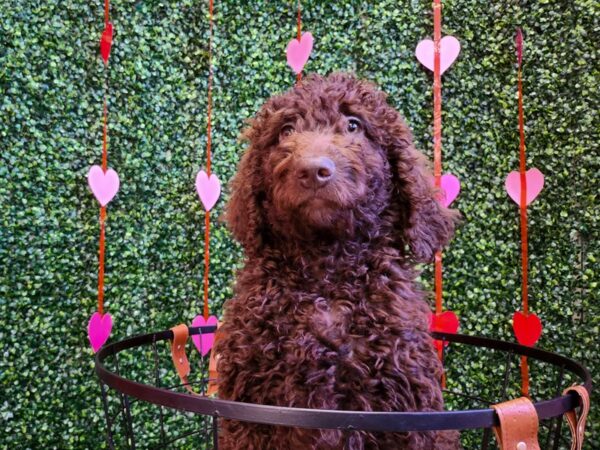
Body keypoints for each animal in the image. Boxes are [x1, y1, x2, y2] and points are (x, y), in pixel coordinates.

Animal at [216, 72, 460, 448]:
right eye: (286, 130)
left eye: (353, 125)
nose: (313, 170)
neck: (327, 271)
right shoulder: (250, 412)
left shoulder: (407, 412)